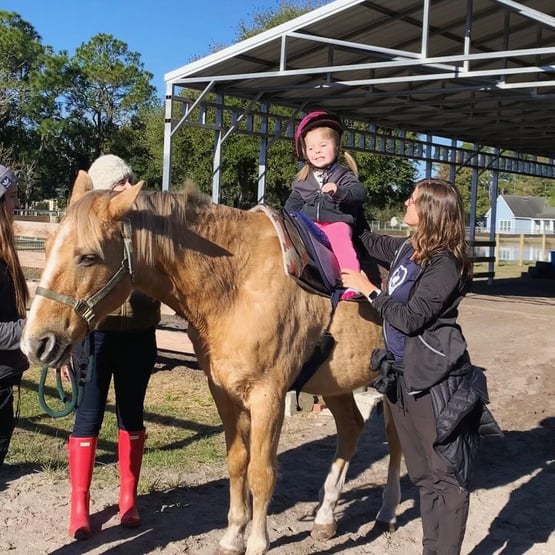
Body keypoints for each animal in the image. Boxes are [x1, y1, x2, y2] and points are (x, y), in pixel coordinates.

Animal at [21, 172, 402, 552]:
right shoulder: (223, 391)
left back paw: (386, 512)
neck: (238, 282)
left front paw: (257, 542)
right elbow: (237, 462)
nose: (35, 342)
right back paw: (325, 518)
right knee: (351, 427)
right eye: (46, 248)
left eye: (88, 257)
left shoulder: (268, 396)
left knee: (396, 442)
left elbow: (262, 473)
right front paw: (233, 536)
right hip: (335, 384)